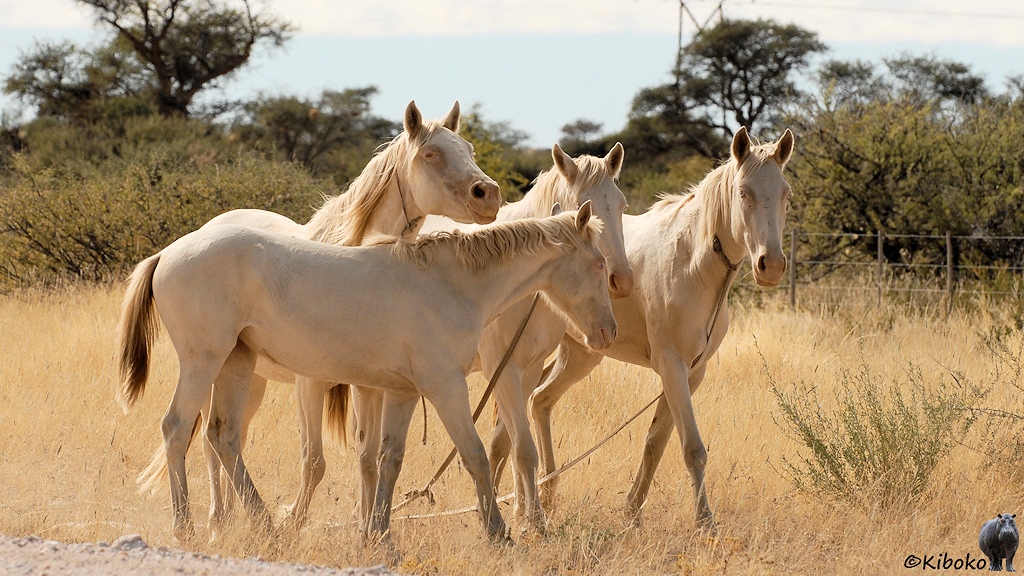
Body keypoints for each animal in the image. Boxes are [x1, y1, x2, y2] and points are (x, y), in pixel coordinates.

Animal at [117, 204, 616, 544]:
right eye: (598, 264)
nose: (607, 333)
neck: (452, 284)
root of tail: (168, 253)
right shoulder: (445, 386)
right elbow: (473, 454)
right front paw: (498, 532)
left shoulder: (402, 392)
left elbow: (387, 460)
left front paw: (380, 535)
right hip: (203, 361)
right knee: (177, 429)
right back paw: (186, 527)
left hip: (236, 364)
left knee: (222, 436)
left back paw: (264, 524)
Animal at [346, 142, 633, 534]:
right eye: (579, 203)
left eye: (621, 204)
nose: (622, 280)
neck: (526, 292)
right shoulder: (505, 369)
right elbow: (523, 448)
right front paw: (532, 521)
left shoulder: (528, 369)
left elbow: (506, 444)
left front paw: (515, 511)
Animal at [494, 127, 794, 528]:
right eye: (744, 192)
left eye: (786, 194)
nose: (771, 265)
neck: (692, 262)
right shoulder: (672, 365)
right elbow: (692, 447)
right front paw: (704, 521)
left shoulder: (691, 372)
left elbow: (657, 442)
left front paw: (632, 509)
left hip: (580, 354)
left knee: (539, 401)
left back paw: (547, 493)